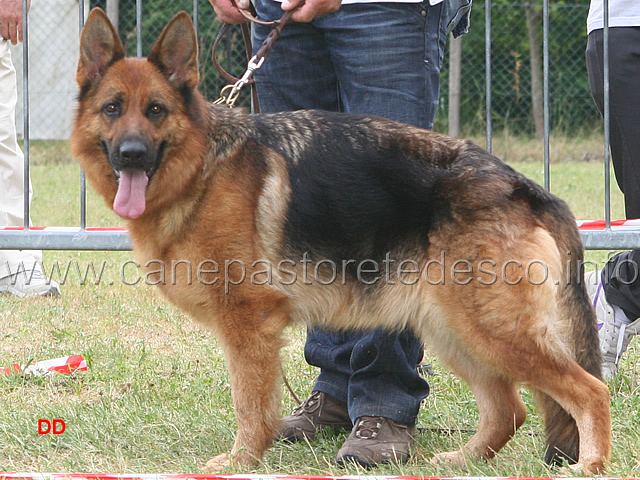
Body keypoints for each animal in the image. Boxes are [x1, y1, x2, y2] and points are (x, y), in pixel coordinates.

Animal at [72, 8, 612, 476]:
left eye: (156, 110)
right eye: (112, 109)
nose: (131, 155)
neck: (202, 168)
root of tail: (524, 186)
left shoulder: (248, 324)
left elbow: (249, 404)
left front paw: (241, 460)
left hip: (492, 331)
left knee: (589, 391)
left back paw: (590, 464)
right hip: (455, 331)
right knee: (509, 410)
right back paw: (462, 461)